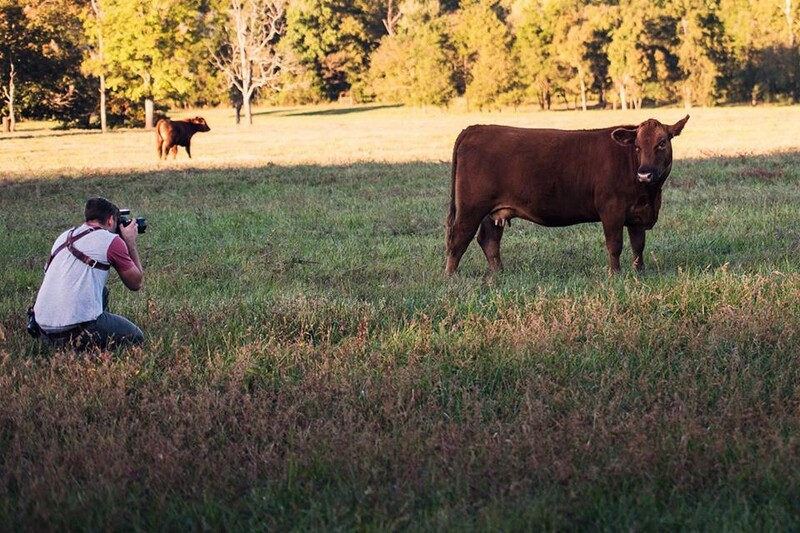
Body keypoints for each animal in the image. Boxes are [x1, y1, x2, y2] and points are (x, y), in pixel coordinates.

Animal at [445, 115, 689, 275]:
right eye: (637, 146)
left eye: (662, 143)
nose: (644, 173)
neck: (650, 195)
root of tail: (475, 128)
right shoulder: (611, 209)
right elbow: (615, 244)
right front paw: (616, 274)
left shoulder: (637, 214)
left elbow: (638, 245)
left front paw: (640, 273)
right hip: (471, 208)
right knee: (458, 239)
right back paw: (451, 276)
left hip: (494, 212)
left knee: (489, 240)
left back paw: (499, 274)